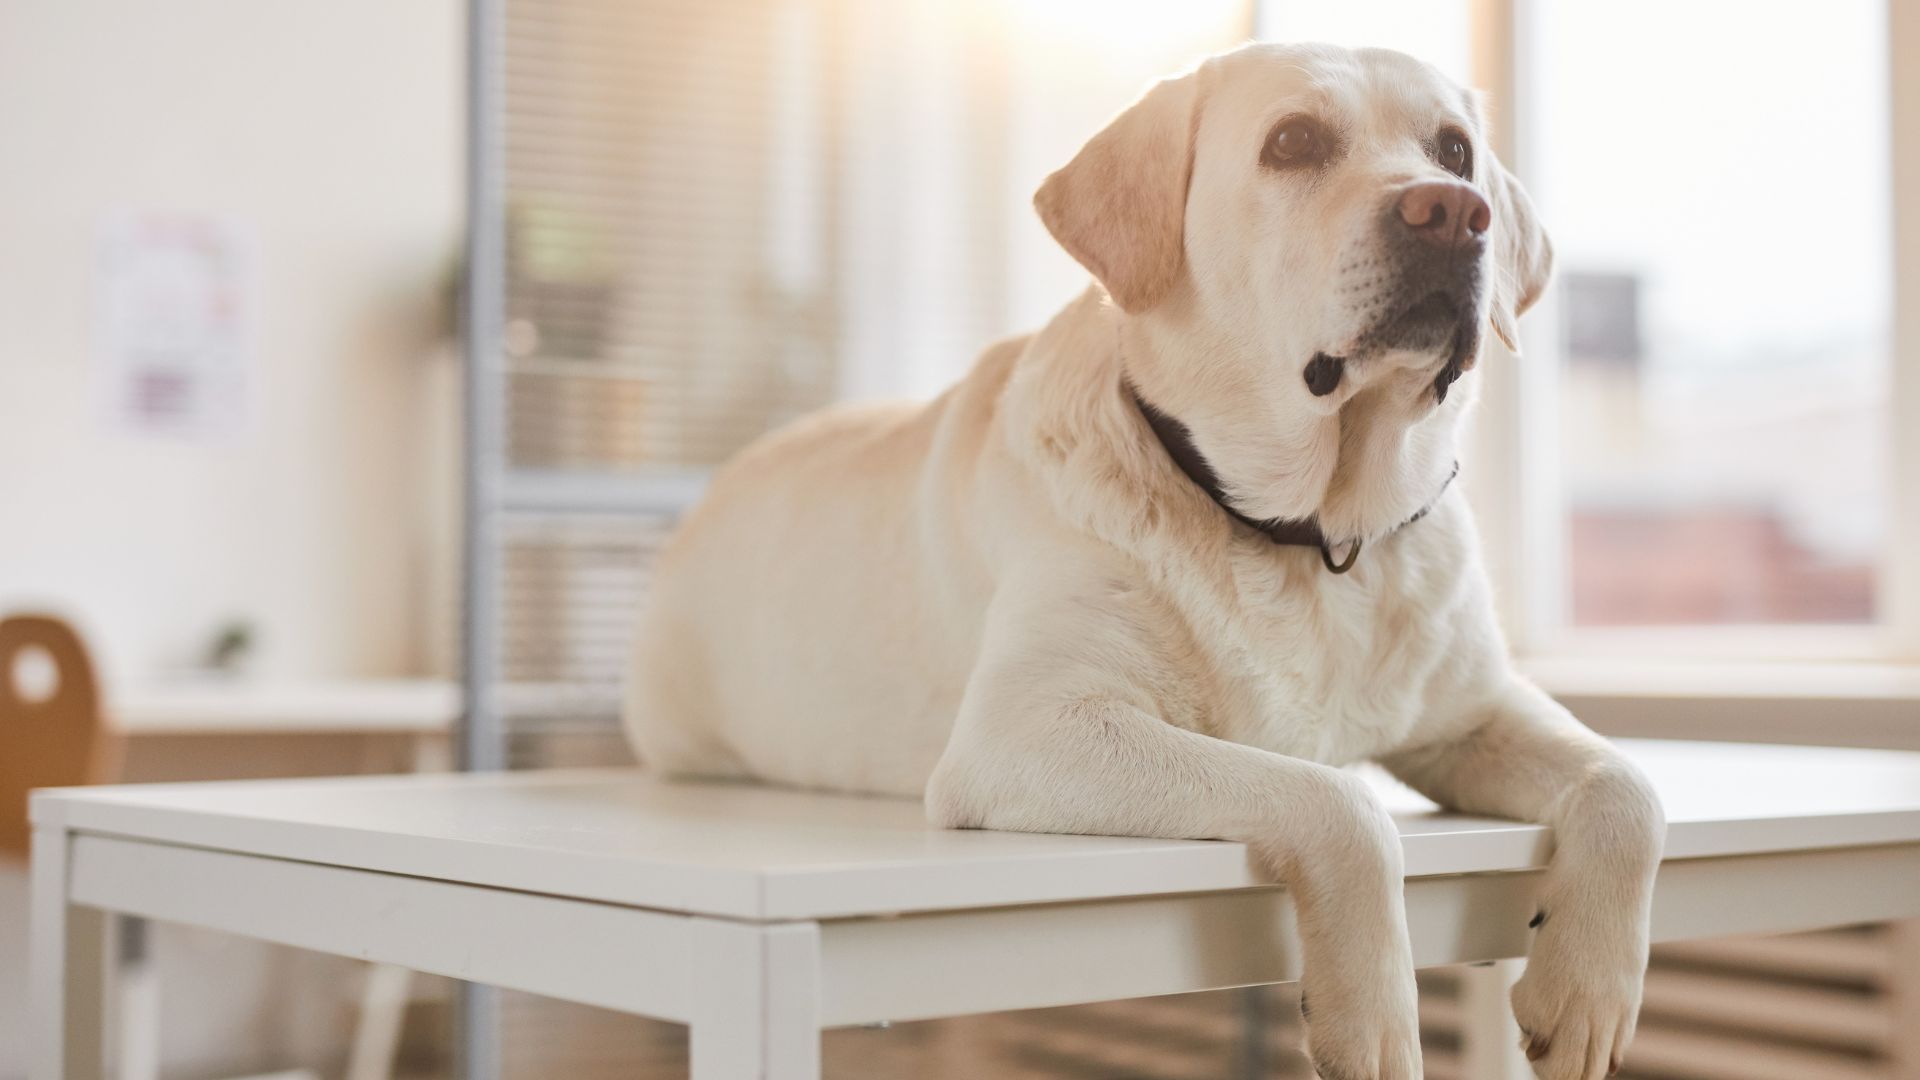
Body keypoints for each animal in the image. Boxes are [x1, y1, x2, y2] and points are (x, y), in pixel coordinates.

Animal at [629, 44, 1666, 1080]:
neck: (1312, 531)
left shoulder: (1475, 710)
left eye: (1454, 150)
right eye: (1294, 141)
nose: (1453, 210)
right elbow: (1339, 800)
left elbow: (1629, 787)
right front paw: (1374, 1019)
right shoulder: (1028, 731)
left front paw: (1587, 994)